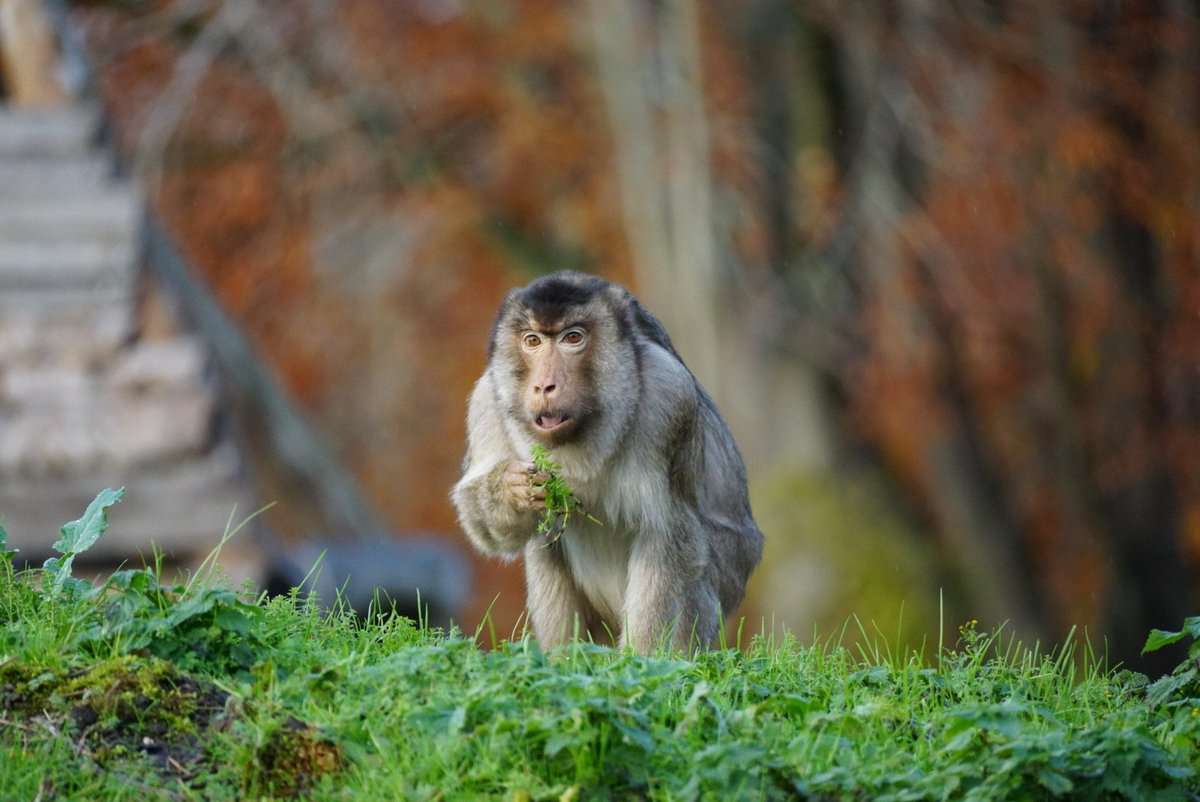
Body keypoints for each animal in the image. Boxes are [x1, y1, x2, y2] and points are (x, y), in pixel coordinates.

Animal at [451, 271, 763, 653]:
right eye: (532, 340)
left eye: (572, 338)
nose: (543, 386)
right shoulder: (486, 400)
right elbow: (483, 525)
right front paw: (509, 491)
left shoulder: (669, 399)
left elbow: (669, 538)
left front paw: (641, 660)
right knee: (545, 540)